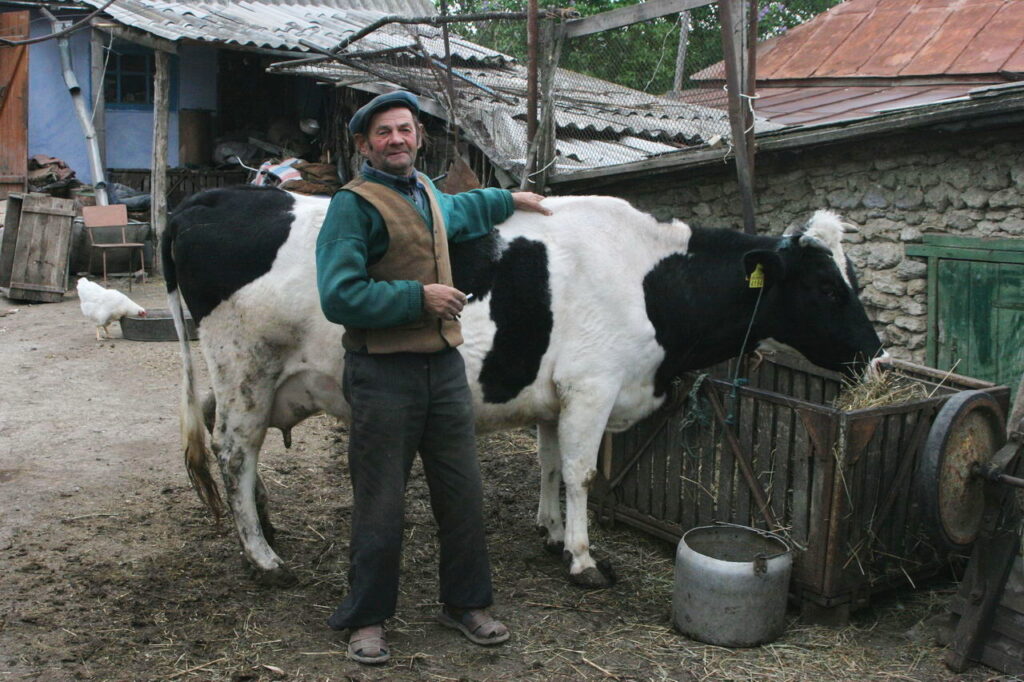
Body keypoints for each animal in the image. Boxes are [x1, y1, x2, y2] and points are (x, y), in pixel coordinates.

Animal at [163, 183, 884, 585]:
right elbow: (582, 474)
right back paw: (262, 559)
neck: (650, 280)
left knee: (236, 451)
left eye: (853, 278)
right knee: (234, 451)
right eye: (827, 288)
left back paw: (263, 529)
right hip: (246, 366)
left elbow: (549, 464)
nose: (876, 356)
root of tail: (211, 197)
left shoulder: (556, 394)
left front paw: (552, 534)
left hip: (249, 380)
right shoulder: (593, 385)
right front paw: (585, 560)